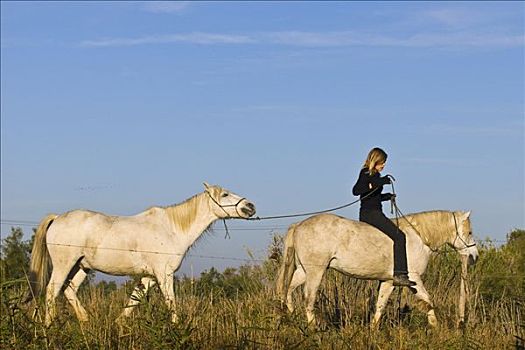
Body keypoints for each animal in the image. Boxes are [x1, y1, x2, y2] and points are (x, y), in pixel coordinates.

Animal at [27, 183, 255, 326]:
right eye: (224, 194)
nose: (250, 206)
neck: (171, 229)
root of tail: (58, 218)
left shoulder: (149, 277)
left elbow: (133, 302)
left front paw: (118, 325)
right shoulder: (164, 275)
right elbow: (171, 303)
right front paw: (177, 329)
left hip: (82, 267)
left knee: (69, 290)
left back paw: (86, 321)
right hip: (64, 264)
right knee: (52, 291)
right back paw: (49, 327)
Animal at [276, 211, 476, 328]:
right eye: (470, 232)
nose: (474, 256)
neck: (419, 237)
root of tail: (298, 225)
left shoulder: (389, 281)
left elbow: (380, 305)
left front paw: (372, 330)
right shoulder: (414, 278)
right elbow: (428, 301)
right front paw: (435, 328)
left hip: (302, 271)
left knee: (288, 291)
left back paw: (293, 317)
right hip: (315, 272)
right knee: (308, 298)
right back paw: (313, 328)